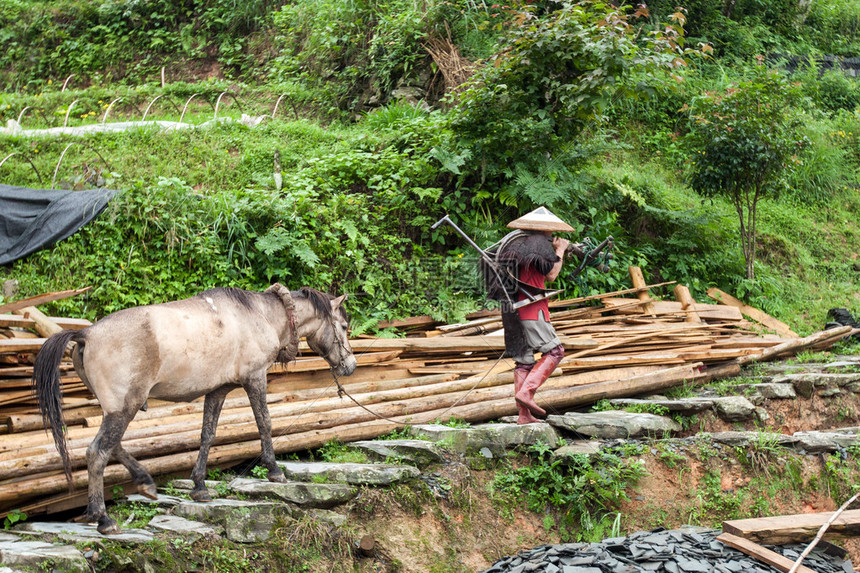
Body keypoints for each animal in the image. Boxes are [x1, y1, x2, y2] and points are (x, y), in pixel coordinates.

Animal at [32, 284, 356, 536]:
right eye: (343, 327)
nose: (350, 366)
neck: (259, 314)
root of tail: (86, 333)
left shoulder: (218, 391)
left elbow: (207, 435)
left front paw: (199, 484)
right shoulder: (255, 379)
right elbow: (264, 423)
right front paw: (274, 470)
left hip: (119, 409)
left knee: (113, 446)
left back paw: (145, 482)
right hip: (123, 409)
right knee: (97, 452)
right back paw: (103, 517)